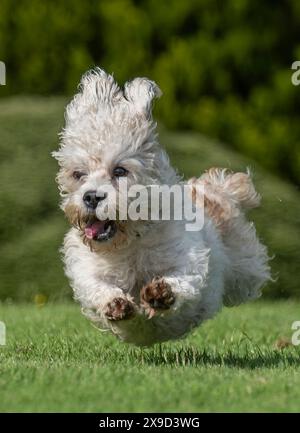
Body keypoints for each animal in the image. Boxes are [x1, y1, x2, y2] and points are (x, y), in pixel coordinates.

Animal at [52, 66, 270, 344]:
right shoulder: (86, 267)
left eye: (120, 170)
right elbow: (96, 286)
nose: (91, 197)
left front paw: (161, 291)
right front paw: (114, 303)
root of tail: (214, 192)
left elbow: (185, 277)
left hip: (246, 271)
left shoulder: (188, 255)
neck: (131, 240)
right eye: (78, 174)